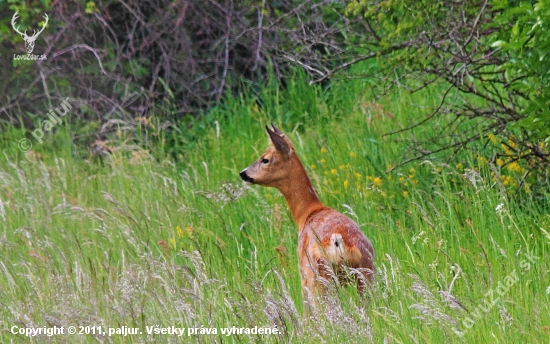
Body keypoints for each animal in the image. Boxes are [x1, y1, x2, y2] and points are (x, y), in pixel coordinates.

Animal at [240, 124, 376, 312]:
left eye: (264, 159)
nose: (243, 173)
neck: (307, 213)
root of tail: (339, 242)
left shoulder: (302, 273)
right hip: (367, 274)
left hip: (317, 278)